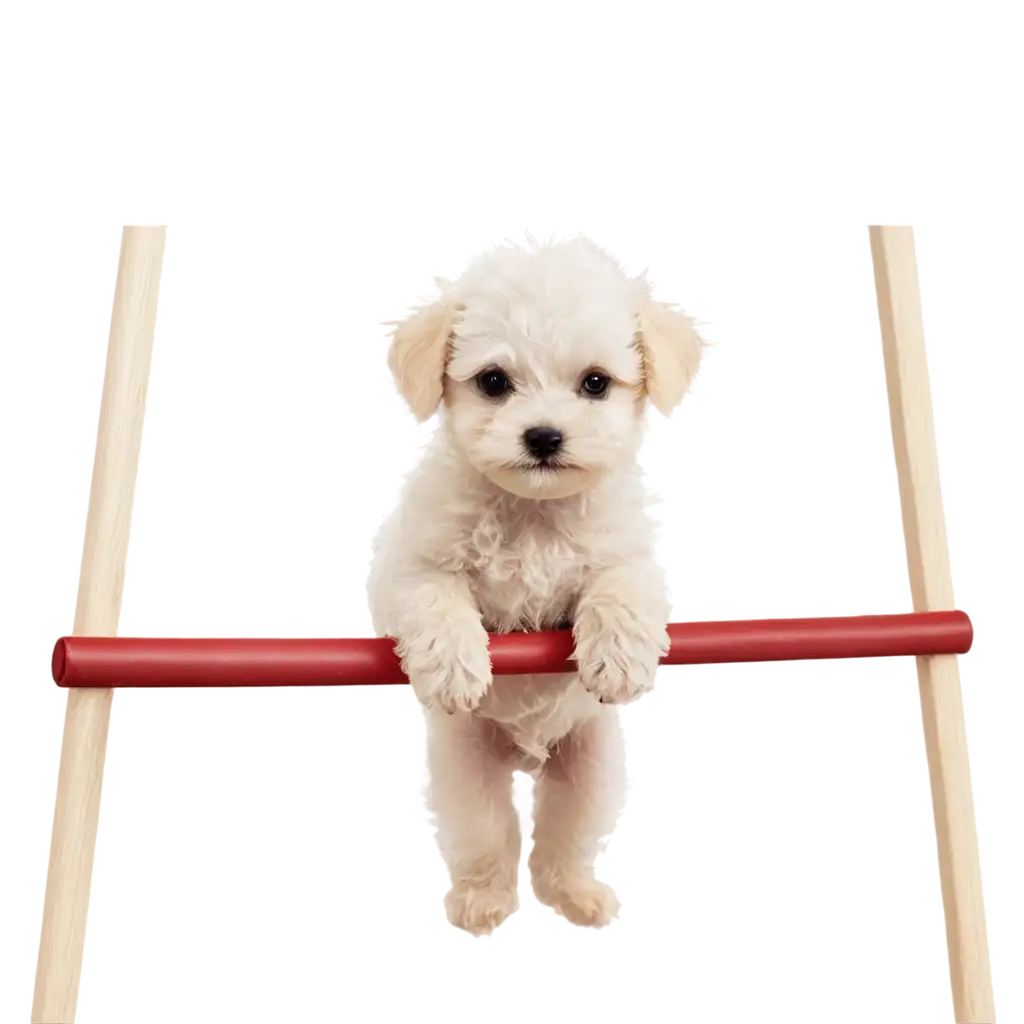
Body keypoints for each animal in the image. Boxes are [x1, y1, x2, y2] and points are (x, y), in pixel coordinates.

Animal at [368, 230, 704, 937]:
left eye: (596, 383)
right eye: (494, 382)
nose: (544, 436)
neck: (534, 512)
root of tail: (527, 754)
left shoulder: (634, 560)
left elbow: (618, 592)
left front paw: (617, 659)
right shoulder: (408, 569)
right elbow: (439, 602)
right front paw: (456, 667)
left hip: (591, 771)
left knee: (561, 842)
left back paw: (580, 898)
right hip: (468, 770)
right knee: (491, 840)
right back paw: (484, 902)